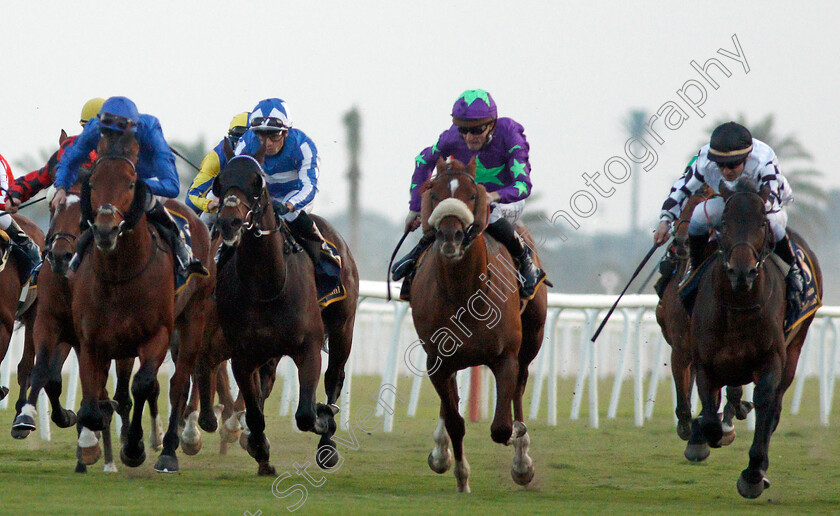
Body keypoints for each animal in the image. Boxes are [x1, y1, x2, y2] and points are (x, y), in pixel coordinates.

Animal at [71, 131, 213, 474]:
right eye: (93, 180)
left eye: (131, 182)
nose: (106, 229)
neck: (119, 275)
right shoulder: (90, 339)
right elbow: (93, 402)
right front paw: (96, 442)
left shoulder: (157, 333)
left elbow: (145, 384)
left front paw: (134, 446)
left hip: (194, 316)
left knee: (178, 383)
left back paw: (170, 450)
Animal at [213, 145, 358, 476]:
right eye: (220, 182)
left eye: (257, 183)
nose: (229, 223)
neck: (267, 285)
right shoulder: (242, 355)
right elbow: (254, 410)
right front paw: (260, 449)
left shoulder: (309, 347)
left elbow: (306, 413)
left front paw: (323, 417)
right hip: (270, 351)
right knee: (264, 387)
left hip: (343, 328)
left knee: (335, 376)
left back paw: (328, 438)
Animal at [410, 157, 548, 492]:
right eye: (434, 193)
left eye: (473, 194)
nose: (451, 237)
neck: (464, 293)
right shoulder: (437, 359)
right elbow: (455, 420)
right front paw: (460, 475)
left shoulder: (506, 357)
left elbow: (501, 426)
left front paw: (519, 445)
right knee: (450, 403)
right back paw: (441, 451)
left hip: (531, 341)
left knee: (518, 391)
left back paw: (522, 459)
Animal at [656, 187, 756, 446]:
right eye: (684, 203)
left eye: (709, 203)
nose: (682, 242)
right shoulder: (681, 346)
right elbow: (683, 395)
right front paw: (688, 426)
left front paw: (729, 417)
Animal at [684, 179, 824, 498]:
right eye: (724, 222)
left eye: (761, 222)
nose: (742, 271)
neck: (738, 305)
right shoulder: (705, 362)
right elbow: (710, 417)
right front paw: (705, 433)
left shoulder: (771, 359)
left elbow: (764, 402)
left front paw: (753, 473)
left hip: (794, 350)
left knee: (775, 407)